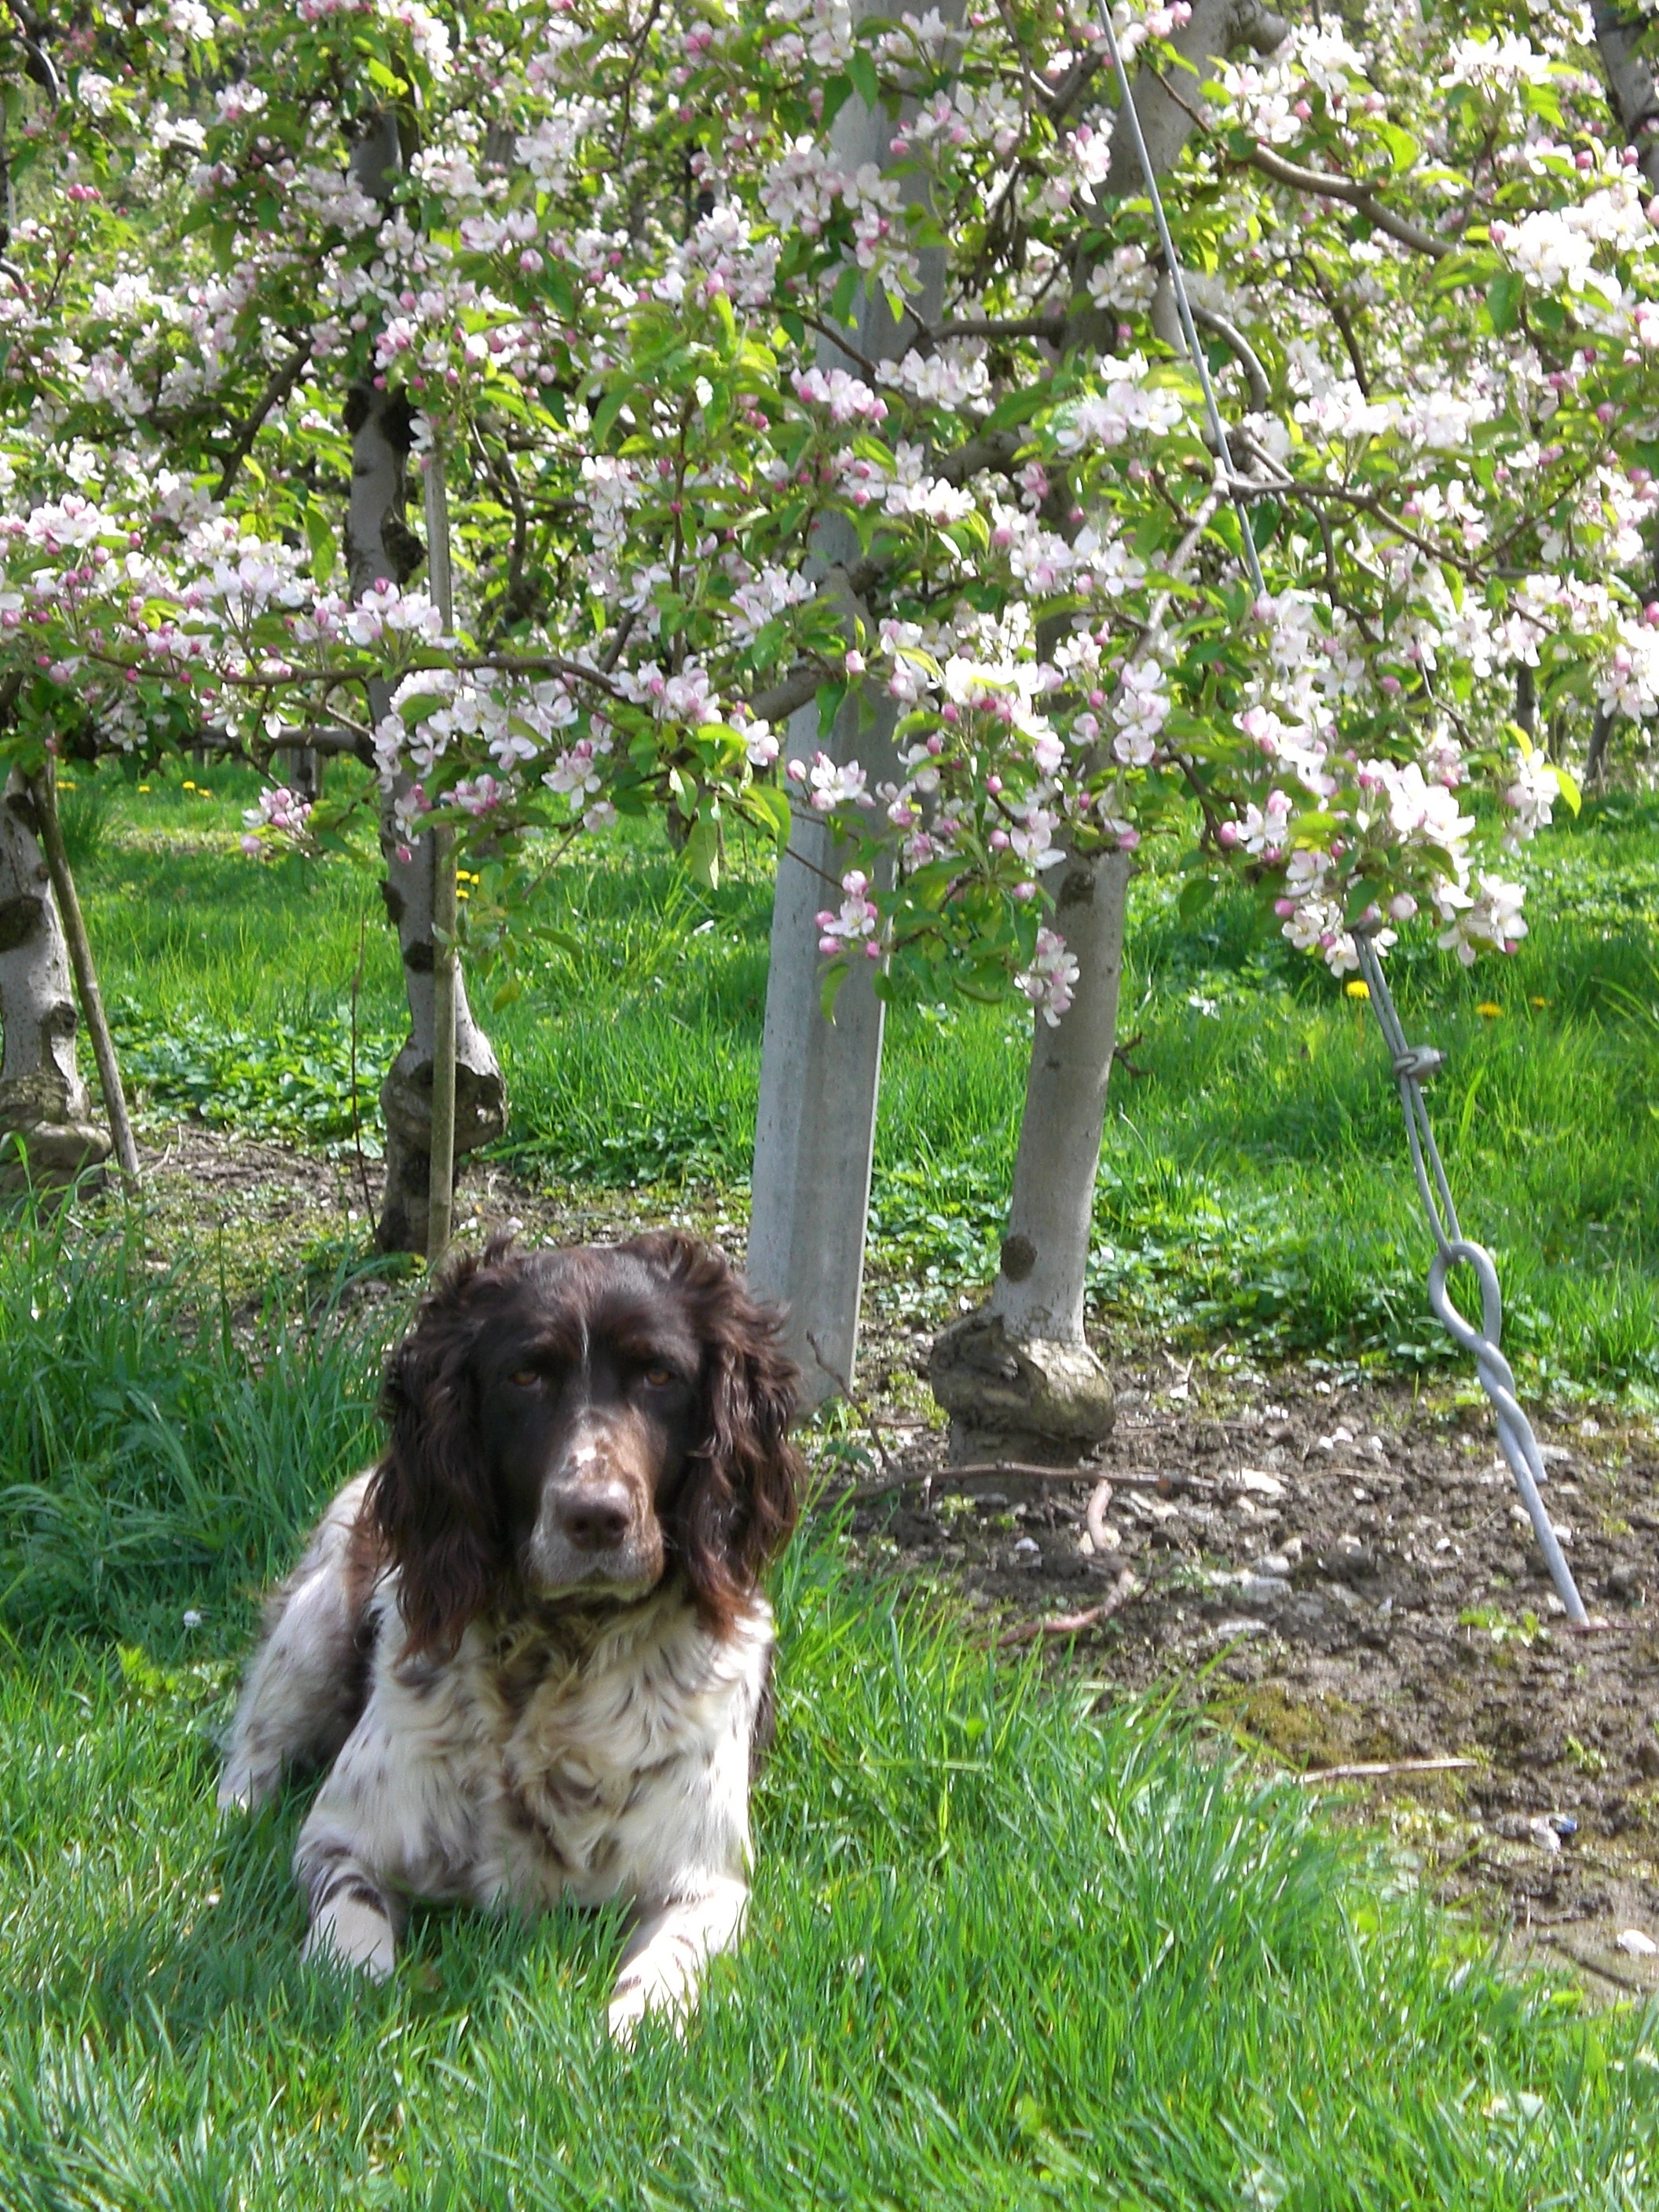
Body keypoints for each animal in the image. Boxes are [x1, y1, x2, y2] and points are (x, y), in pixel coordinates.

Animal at [221, 1229, 805, 2034]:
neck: (560, 1656)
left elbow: (666, 1965)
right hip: (314, 1625)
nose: (596, 1517)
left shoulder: (707, 1882)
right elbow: (351, 1913)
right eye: (524, 1376)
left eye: (660, 1374)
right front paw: (348, 1980)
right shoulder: (339, 1839)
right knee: (253, 1747)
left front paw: (630, 2029)